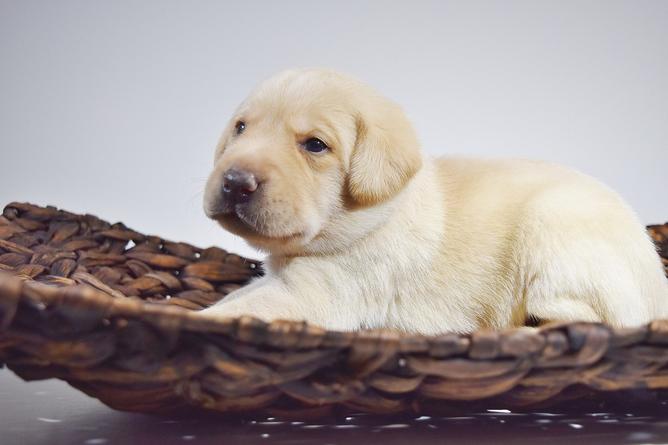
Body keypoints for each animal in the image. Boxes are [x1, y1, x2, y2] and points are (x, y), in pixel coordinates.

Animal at [200, 68, 668, 332]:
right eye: (241, 128)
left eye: (315, 145)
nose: (235, 181)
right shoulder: (275, 282)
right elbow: (233, 300)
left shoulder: (315, 297)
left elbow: (236, 312)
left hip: (555, 226)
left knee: (592, 318)